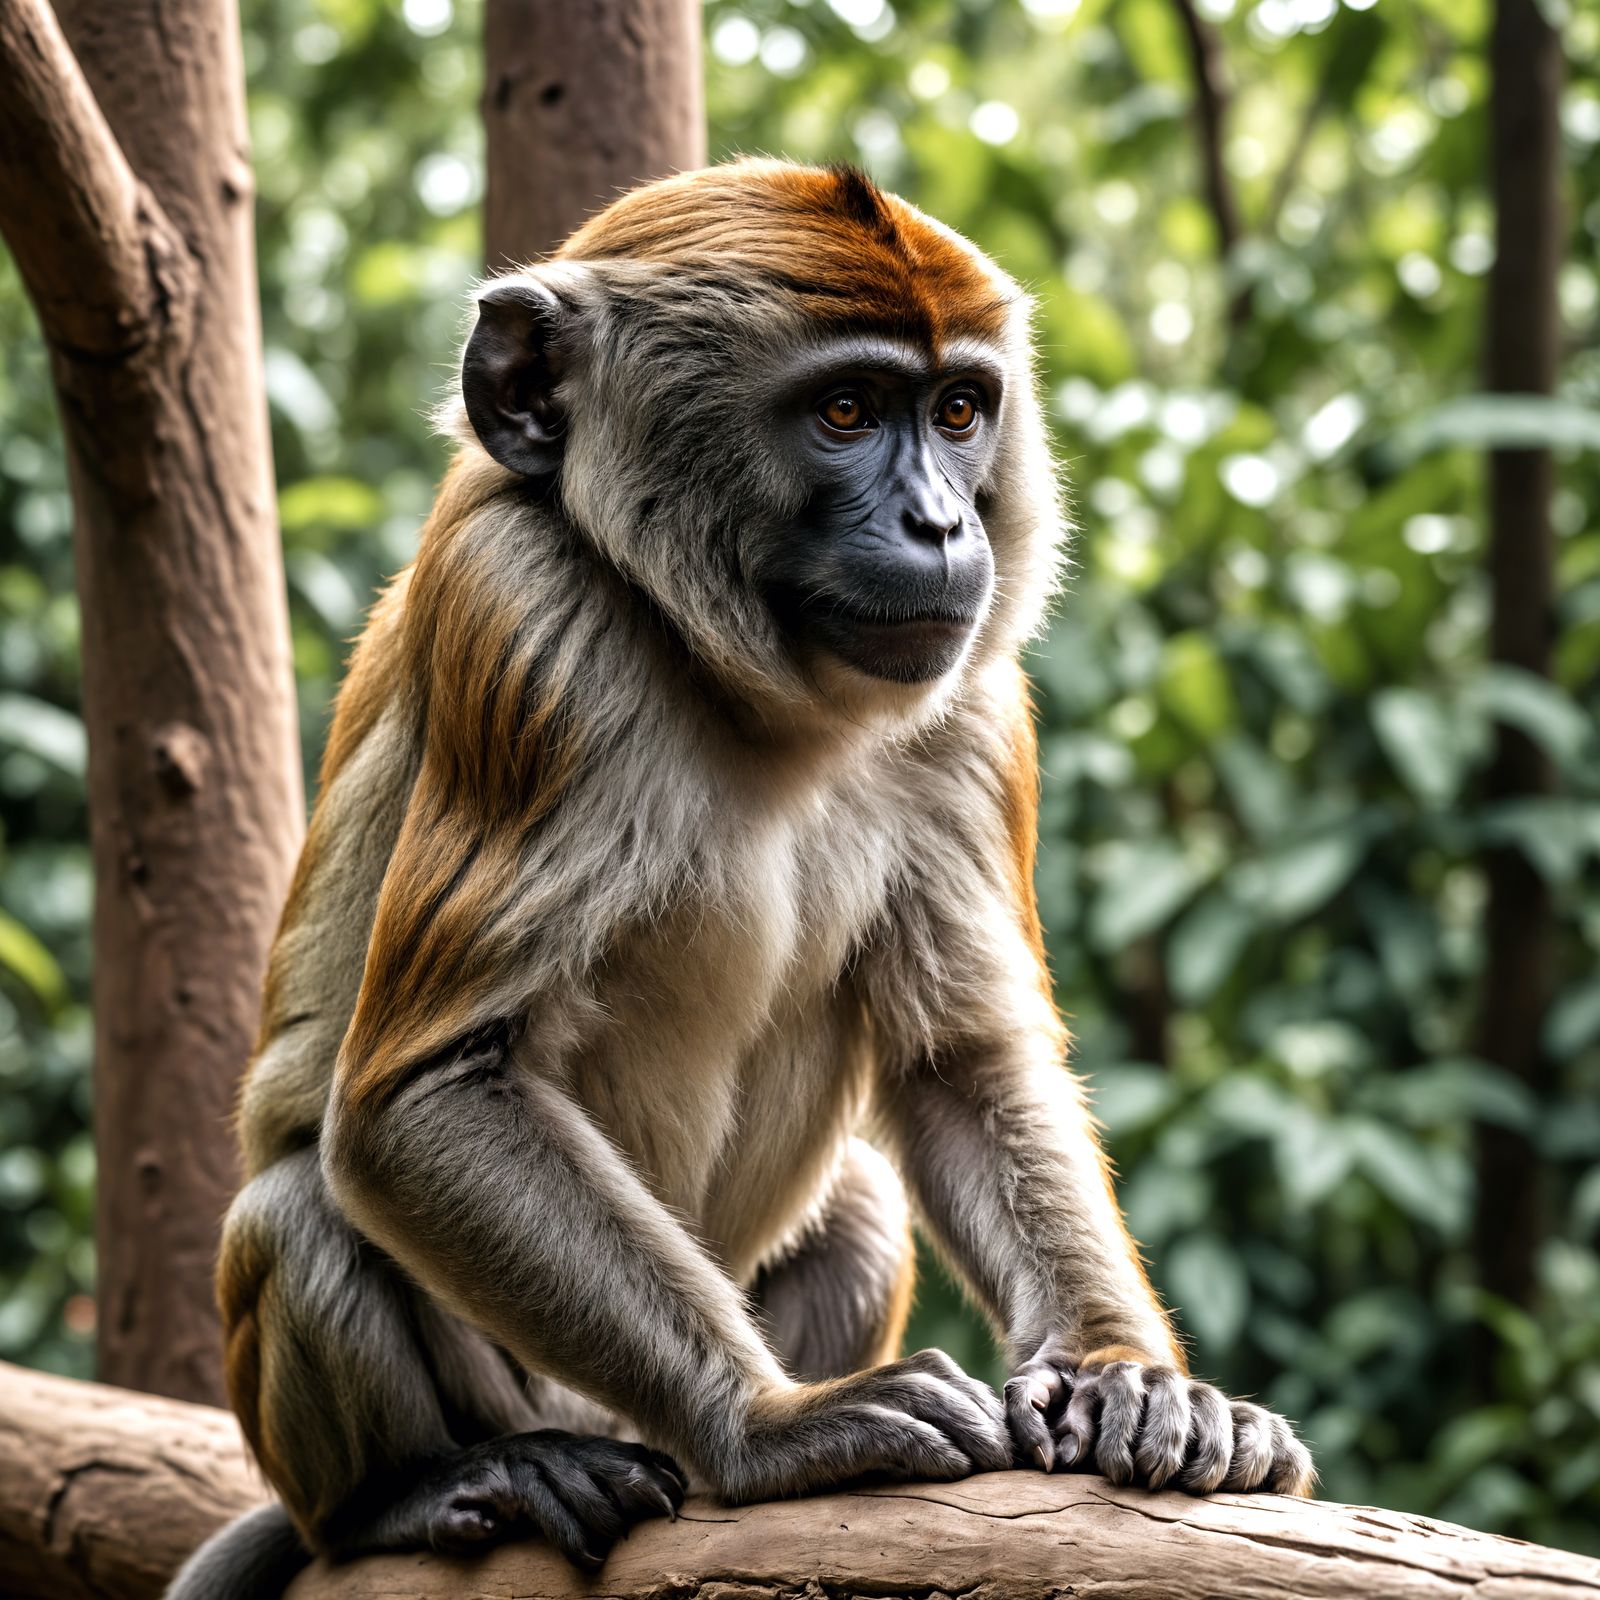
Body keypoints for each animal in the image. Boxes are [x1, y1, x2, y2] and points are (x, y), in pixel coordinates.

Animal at [167, 159, 1313, 1599]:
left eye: (957, 410)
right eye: (844, 410)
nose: (943, 522)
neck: (752, 689)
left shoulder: (971, 698)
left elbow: (964, 1057)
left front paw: (1128, 1375)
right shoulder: (522, 617)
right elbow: (422, 1095)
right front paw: (769, 1426)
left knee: (864, 1203)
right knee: (297, 1210)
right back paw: (428, 1487)